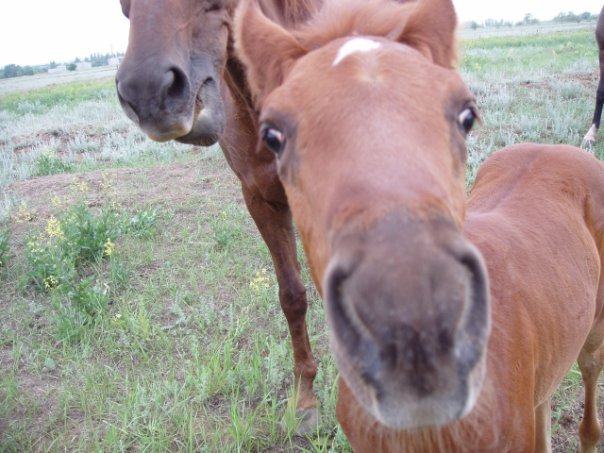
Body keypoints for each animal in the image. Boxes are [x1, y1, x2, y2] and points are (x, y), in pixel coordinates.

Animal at [235, 0, 604, 446]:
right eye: (272, 136)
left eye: (467, 115)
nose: (415, 328)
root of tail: (555, 148)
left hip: (594, 335)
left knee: (590, 404)